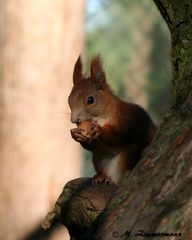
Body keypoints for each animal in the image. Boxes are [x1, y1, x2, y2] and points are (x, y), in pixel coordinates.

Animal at [68, 55, 157, 184]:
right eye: (69, 99)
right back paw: (102, 176)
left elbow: (120, 136)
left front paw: (99, 131)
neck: (101, 118)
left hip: (131, 152)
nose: (74, 119)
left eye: (90, 100)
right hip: (99, 158)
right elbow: (92, 146)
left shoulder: (127, 119)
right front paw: (75, 134)